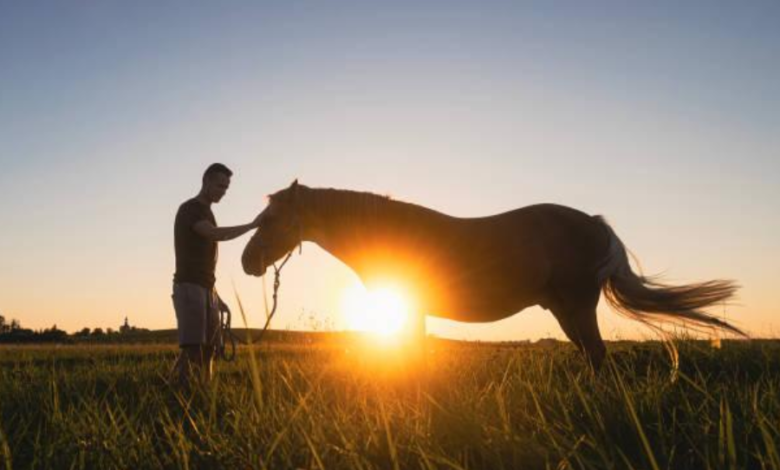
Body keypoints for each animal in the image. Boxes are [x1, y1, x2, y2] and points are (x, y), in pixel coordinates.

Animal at [244, 180, 744, 368]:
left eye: (271, 220)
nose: (249, 261)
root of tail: (595, 222)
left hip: (578, 307)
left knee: (597, 356)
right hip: (566, 310)